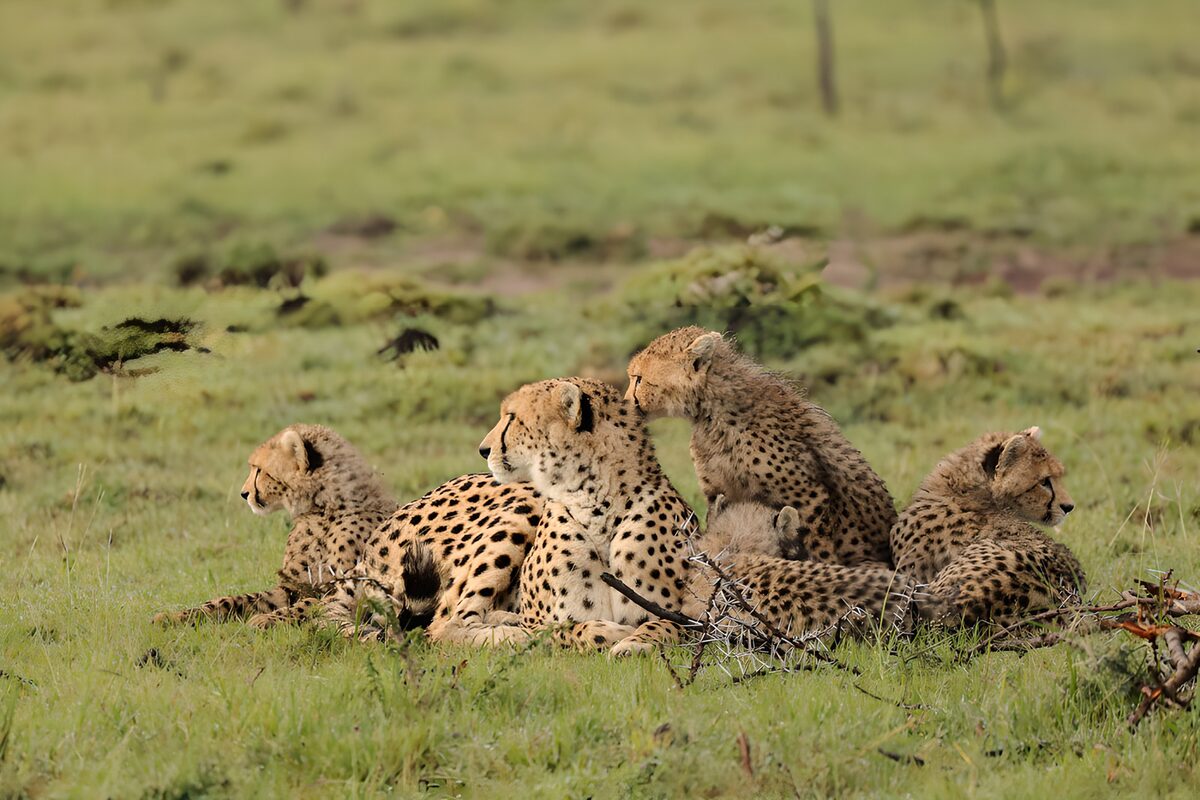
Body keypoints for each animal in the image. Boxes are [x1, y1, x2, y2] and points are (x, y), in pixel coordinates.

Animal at [152, 424, 394, 626]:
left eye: (259, 470)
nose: (244, 493)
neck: (322, 510)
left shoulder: (345, 588)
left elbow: (311, 604)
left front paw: (266, 619)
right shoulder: (291, 587)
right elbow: (235, 600)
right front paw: (177, 616)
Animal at [477, 377, 694, 656]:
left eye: (512, 417)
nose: (483, 449)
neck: (597, 507)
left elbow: (666, 624)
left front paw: (634, 643)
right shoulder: (534, 624)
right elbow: (567, 630)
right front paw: (615, 633)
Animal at [626, 326, 897, 568]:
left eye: (639, 379)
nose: (627, 402)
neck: (713, 412)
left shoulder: (809, 495)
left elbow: (819, 545)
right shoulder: (716, 493)